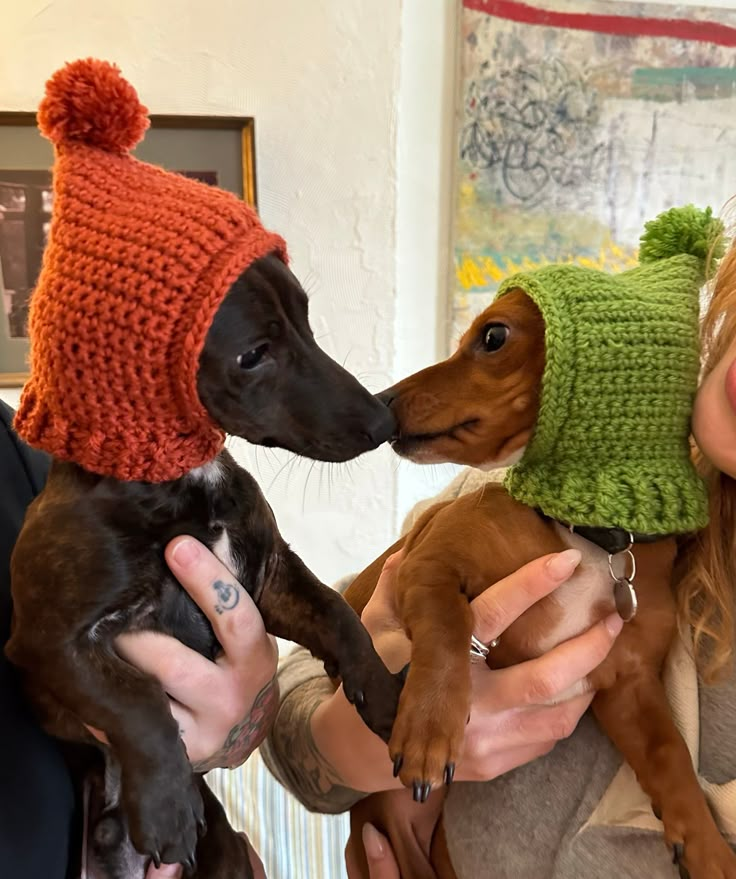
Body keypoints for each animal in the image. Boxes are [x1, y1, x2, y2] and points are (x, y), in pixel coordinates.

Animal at [342, 292, 732, 879]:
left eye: (493, 337)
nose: (381, 403)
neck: (589, 540)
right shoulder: (427, 565)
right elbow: (449, 628)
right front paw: (431, 726)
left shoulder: (629, 684)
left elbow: (670, 753)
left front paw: (707, 845)